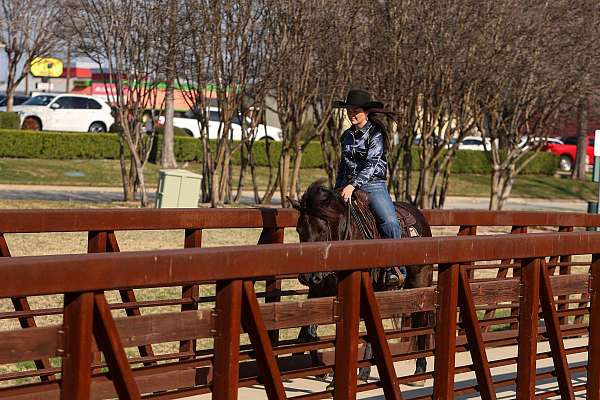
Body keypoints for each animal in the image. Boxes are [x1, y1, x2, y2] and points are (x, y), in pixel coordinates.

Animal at [290, 180, 434, 384]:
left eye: (322, 230)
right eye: (299, 230)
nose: (308, 276)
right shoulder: (317, 292)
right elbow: (307, 330)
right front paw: (320, 369)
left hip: (419, 283)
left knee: (421, 321)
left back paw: (419, 370)